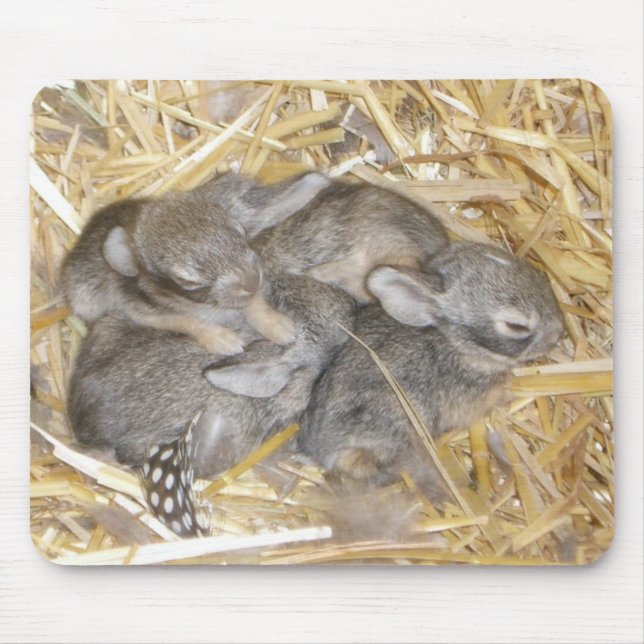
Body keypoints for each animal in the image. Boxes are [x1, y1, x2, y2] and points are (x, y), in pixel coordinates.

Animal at [61, 188, 296, 356]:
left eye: (241, 231)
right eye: (187, 282)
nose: (252, 281)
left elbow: (255, 305)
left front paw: (282, 328)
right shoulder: (145, 311)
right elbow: (188, 322)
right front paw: (226, 342)